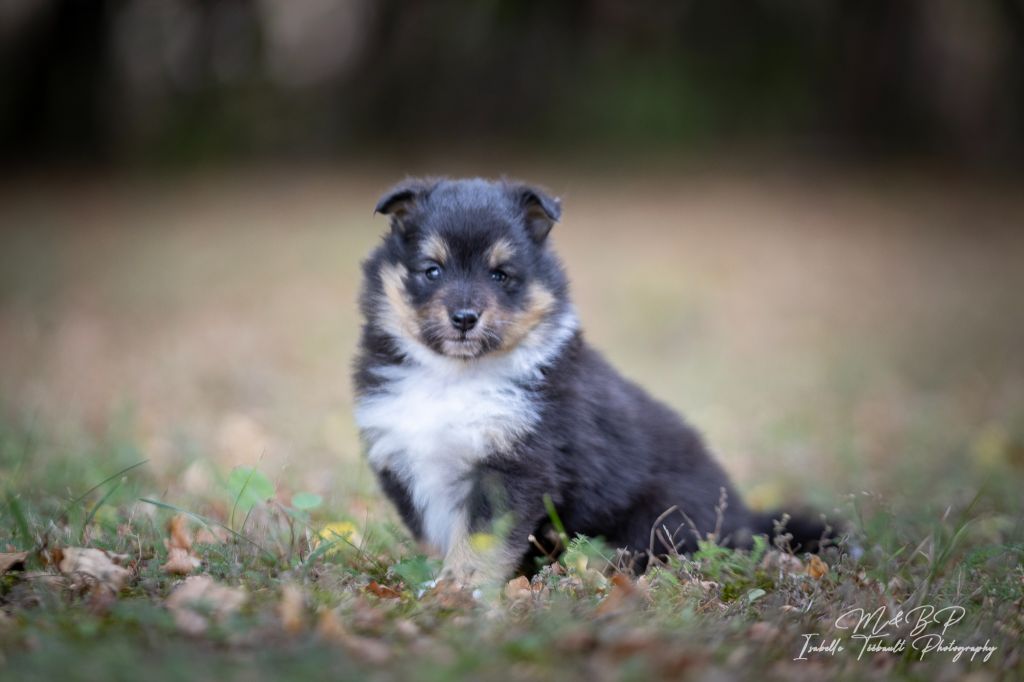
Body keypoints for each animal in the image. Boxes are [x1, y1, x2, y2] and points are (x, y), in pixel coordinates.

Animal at [352, 175, 831, 585]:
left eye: (500, 275)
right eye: (431, 270)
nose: (465, 318)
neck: (453, 376)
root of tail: (748, 521)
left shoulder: (515, 467)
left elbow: (478, 543)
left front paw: (458, 593)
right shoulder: (400, 457)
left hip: (659, 516)